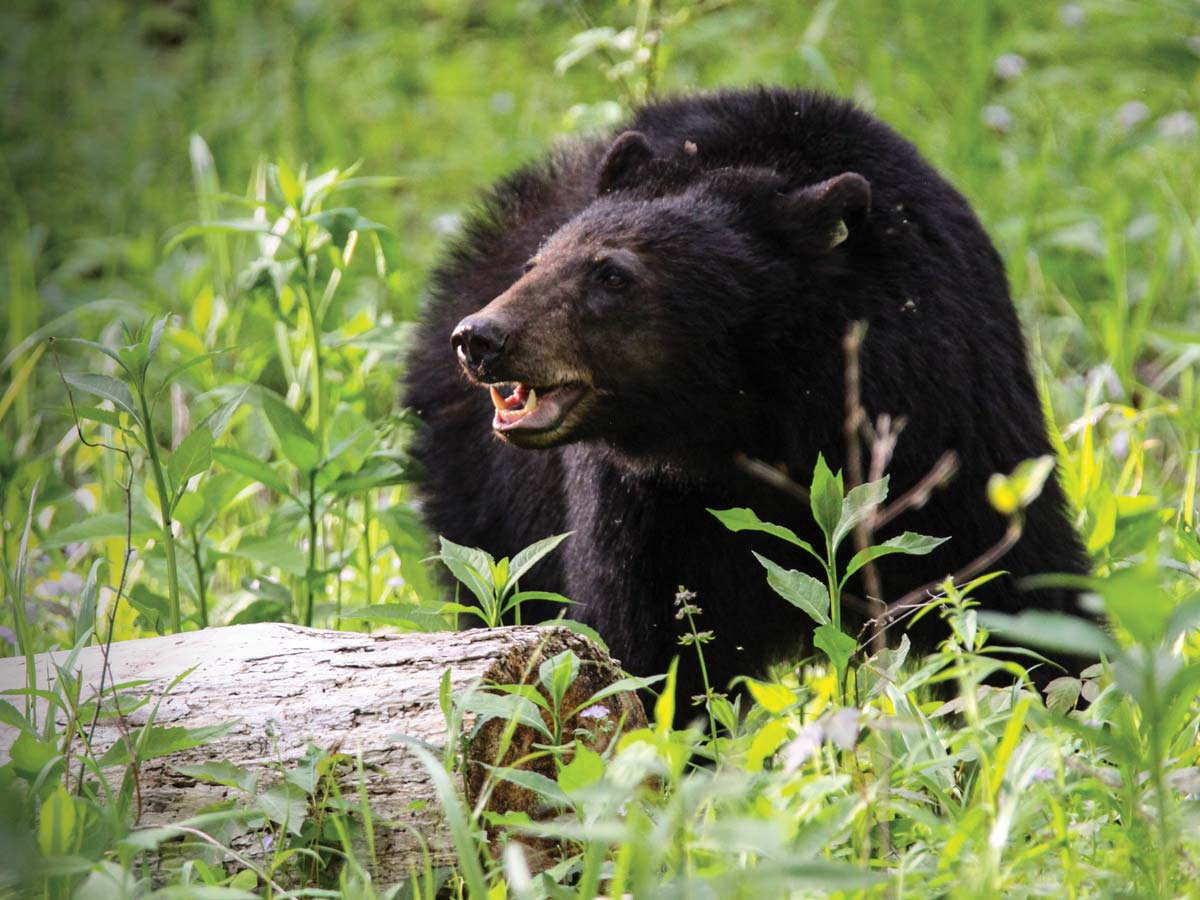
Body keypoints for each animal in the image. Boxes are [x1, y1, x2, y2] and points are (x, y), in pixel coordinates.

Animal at [403, 86, 1089, 705]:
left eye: (612, 274)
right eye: (537, 264)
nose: (481, 338)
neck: (754, 421)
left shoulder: (946, 423)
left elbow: (1018, 587)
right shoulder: (647, 504)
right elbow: (647, 640)